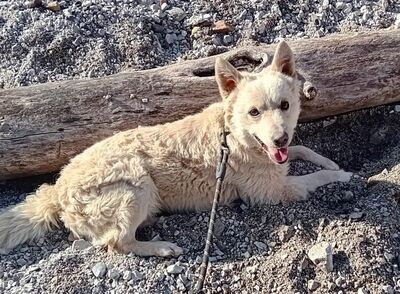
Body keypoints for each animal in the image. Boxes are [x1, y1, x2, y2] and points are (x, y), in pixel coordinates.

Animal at [0, 41, 350, 258]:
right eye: (254, 112)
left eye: (285, 105)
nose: (279, 139)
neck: (237, 138)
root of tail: (57, 190)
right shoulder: (276, 191)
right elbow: (314, 178)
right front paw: (344, 175)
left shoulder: (283, 156)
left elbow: (304, 150)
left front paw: (329, 161)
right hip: (136, 186)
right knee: (117, 243)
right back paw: (161, 247)